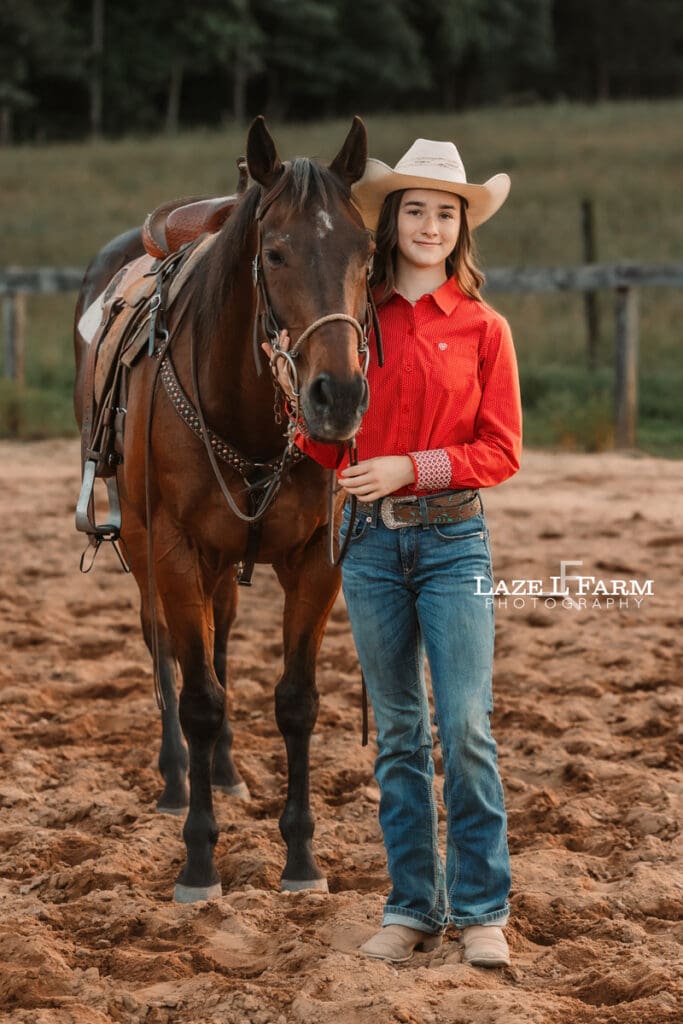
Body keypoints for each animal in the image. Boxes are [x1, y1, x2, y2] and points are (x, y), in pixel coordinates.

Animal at [73, 116, 374, 902]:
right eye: (274, 253)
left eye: (367, 253)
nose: (338, 396)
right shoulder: (173, 552)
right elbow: (199, 698)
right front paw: (199, 862)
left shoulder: (315, 562)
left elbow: (295, 700)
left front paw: (301, 860)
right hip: (145, 544)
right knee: (167, 650)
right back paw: (180, 780)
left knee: (220, 642)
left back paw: (229, 773)